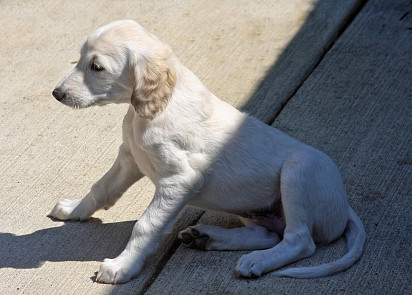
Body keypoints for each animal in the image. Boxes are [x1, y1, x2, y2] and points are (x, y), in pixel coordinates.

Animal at [50, 20, 366, 284]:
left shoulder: (180, 180)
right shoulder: (130, 158)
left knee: (300, 240)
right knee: (266, 233)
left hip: (299, 169)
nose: (57, 94)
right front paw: (75, 210)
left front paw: (122, 266)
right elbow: (100, 188)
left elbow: (145, 225)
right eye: (81, 59)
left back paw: (257, 261)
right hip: (249, 206)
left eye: (97, 67)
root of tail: (344, 205)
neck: (157, 108)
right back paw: (208, 238)